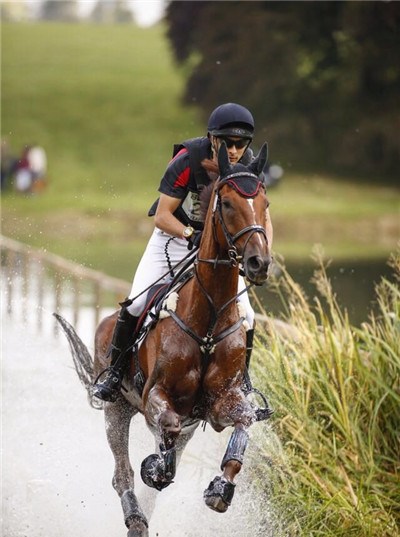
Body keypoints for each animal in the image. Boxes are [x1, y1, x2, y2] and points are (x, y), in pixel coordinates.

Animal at [55, 142, 272, 536]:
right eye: (227, 203)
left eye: (265, 203)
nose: (257, 263)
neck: (208, 320)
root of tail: (104, 323)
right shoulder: (155, 394)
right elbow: (164, 430)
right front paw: (156, 467)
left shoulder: (221, 402)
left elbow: (244, 423)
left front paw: (221, 488)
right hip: (116, 408)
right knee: (122, 472)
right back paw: (135, 516)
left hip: (188, 426)